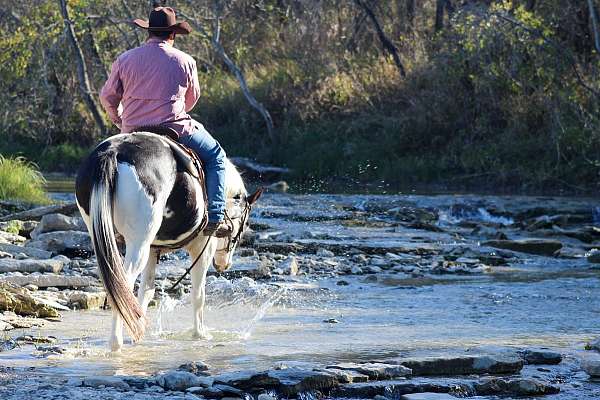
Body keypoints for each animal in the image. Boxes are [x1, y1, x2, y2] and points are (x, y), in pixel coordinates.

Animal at [74, 133, 260, 352]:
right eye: (245, 223)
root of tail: (114, 151)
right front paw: (200, 334)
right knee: (122, 285)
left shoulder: (153, 251)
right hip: (138, 244)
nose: (224, 264)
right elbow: (198, 295)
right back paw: (115, 343)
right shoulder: (202, 249)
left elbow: (146, 291)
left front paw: (139, 334)